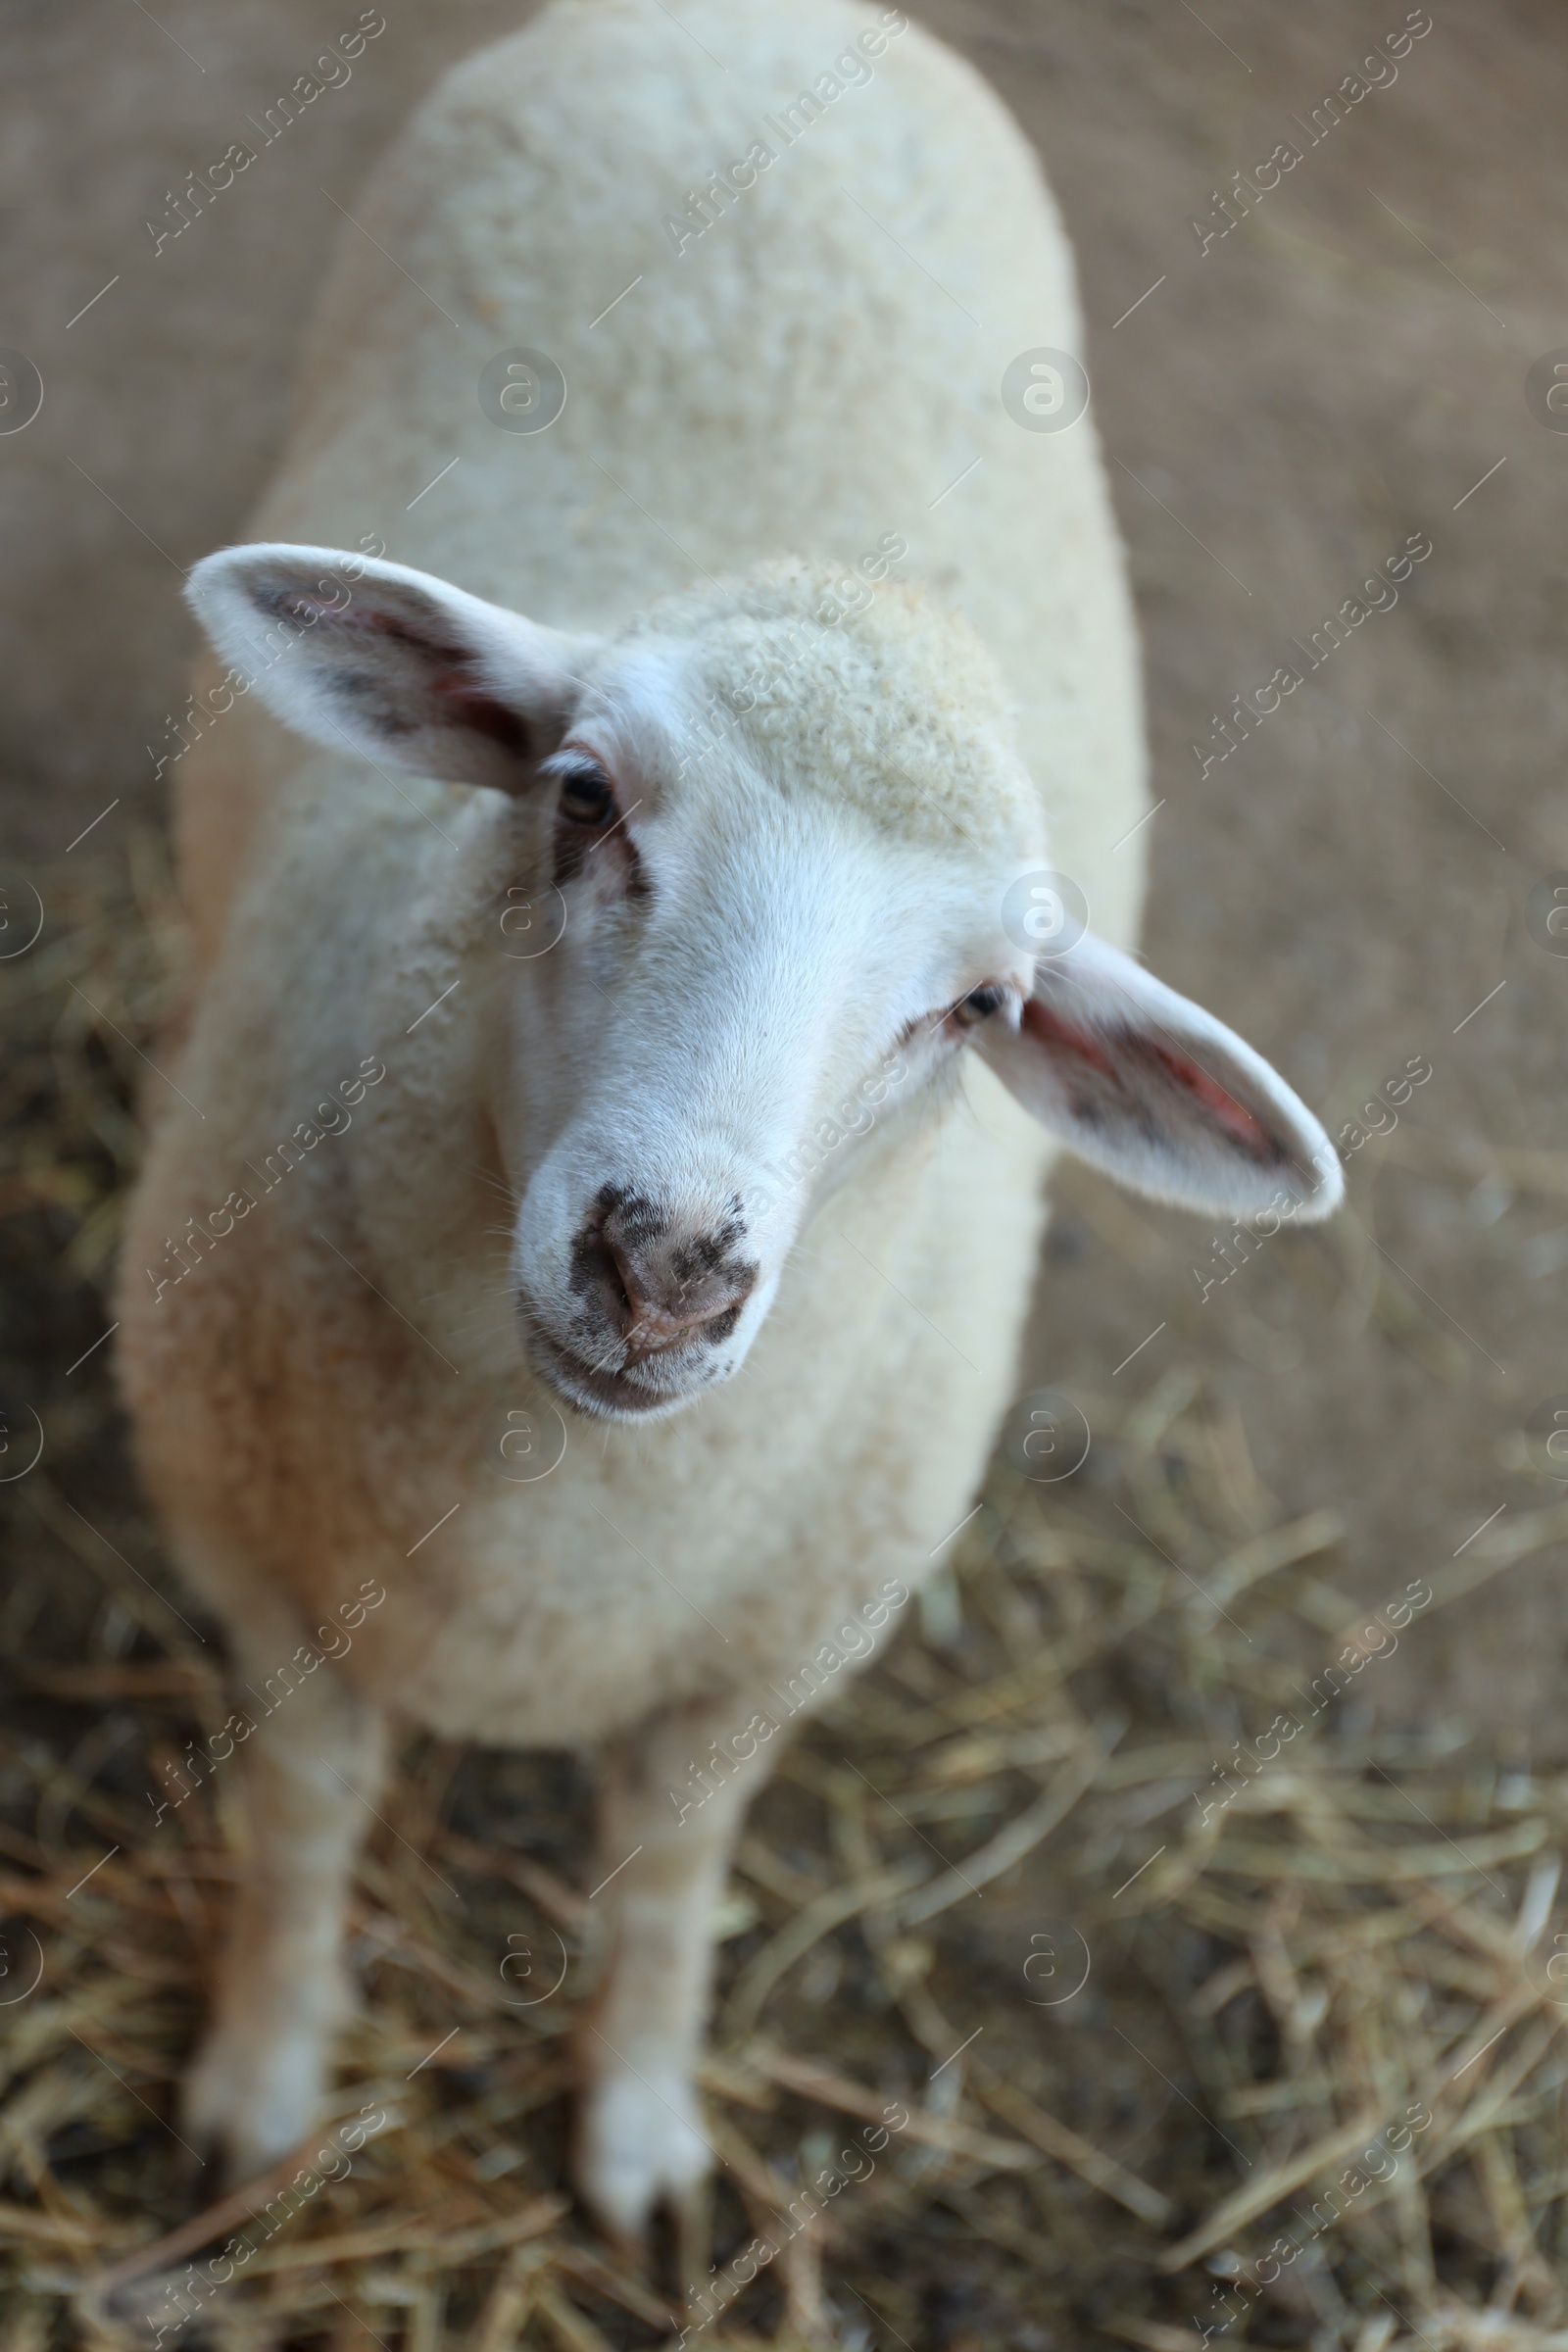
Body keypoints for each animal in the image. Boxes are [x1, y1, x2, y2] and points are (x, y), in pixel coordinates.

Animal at [116, 0, 1345, 2248]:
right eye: (582, 795)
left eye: (976, 1009)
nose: (666, 1264)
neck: (550, 1546)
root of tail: (780, 16)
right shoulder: (252, 1557)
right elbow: (307, 1820)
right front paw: (259, 2082)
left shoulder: (765, 1654)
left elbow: (673, 1873)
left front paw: (638, 2132)